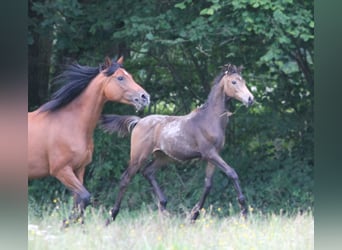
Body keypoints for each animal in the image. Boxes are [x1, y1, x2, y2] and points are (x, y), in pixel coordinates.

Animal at [27, 56, 148, 221]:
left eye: (130, 76)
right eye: (120, 78)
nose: (145, 97)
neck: (70, 123)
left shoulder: (79, 169)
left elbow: (78, 202)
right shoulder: (61, 170)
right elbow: (84, 197)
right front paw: (66, 222)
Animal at [99, 63, 254, 223]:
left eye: (244, 81)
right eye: (234, 82)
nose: (250, 99)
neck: (210, 119)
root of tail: (139, 121)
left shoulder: (213, 156)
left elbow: (208, 185)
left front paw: (193, 216)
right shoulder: (209, 154)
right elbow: (232, 173)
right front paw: (244, 212)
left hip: (163, 157)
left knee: (148, 172)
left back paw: (163, 208)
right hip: (138, 157)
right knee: (125, 179)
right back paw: (111, 217)